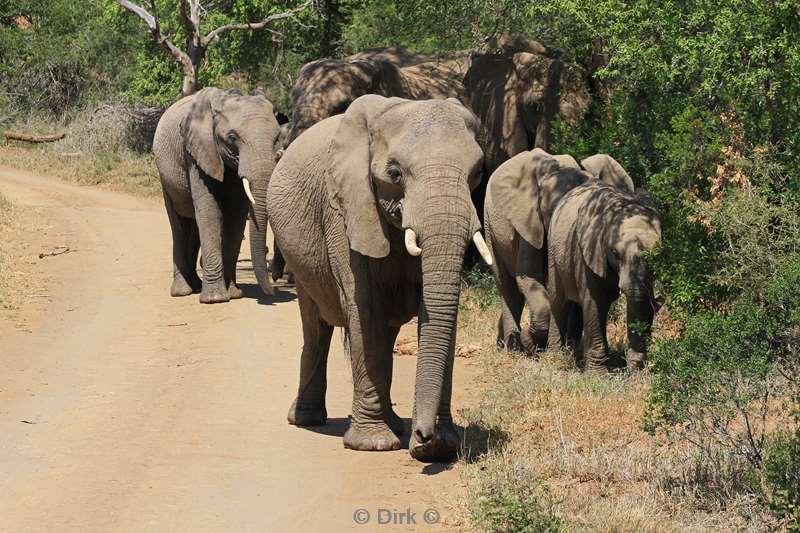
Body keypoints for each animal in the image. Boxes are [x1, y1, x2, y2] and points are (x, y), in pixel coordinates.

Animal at [153, 89, 282, 302]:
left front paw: (234, 294)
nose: (272, 291)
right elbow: (209, 210)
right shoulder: (197, 152)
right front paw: (215, 299)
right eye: (232, 137)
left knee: (193, 227)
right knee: (179, 226)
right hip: (165, 177)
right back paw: (182, 291)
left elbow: (236, 215)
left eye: (277, 137)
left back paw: (196, 284)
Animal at [268, 95, 494, 462]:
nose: (424, 435)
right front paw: (373, 445)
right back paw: (307, 420)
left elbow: (439, 314)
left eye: (476, 173)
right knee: (316, 325)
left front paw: (441, 445)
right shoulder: (345, 209)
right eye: (394, 173)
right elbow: (365, 310)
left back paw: (394, 424)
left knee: (384, 334)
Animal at [484, 150, 636, 354]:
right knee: (507, 285)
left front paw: (567, 347)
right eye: (554, 212)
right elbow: (528, 277)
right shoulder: (529, 225)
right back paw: (511, 348)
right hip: (490, 226)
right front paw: (531, 343)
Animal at [544, 180, 664, 370]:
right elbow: (595, 301)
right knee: (559, 301)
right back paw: (556, 359)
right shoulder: (588, 250)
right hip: (554, 249)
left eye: (657, 255)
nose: (659, 300)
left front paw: (637, 370)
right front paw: (597, 373)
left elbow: (636, 303)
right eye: (615, 253)